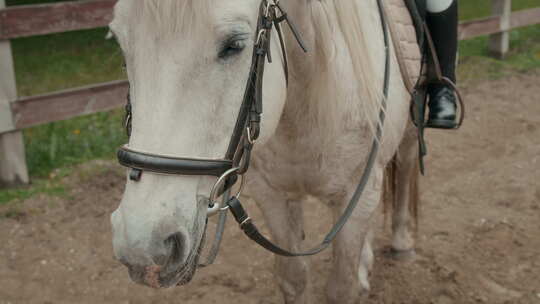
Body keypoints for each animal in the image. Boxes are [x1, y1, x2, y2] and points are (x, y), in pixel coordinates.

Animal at [110, 1, 418, 302]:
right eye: (121, 44)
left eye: (234, 44)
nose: (142, 246)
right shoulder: (272, 196)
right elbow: (293, 279)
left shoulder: (359, 193)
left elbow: (342, 287)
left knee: (406, 169)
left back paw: (402, 243)